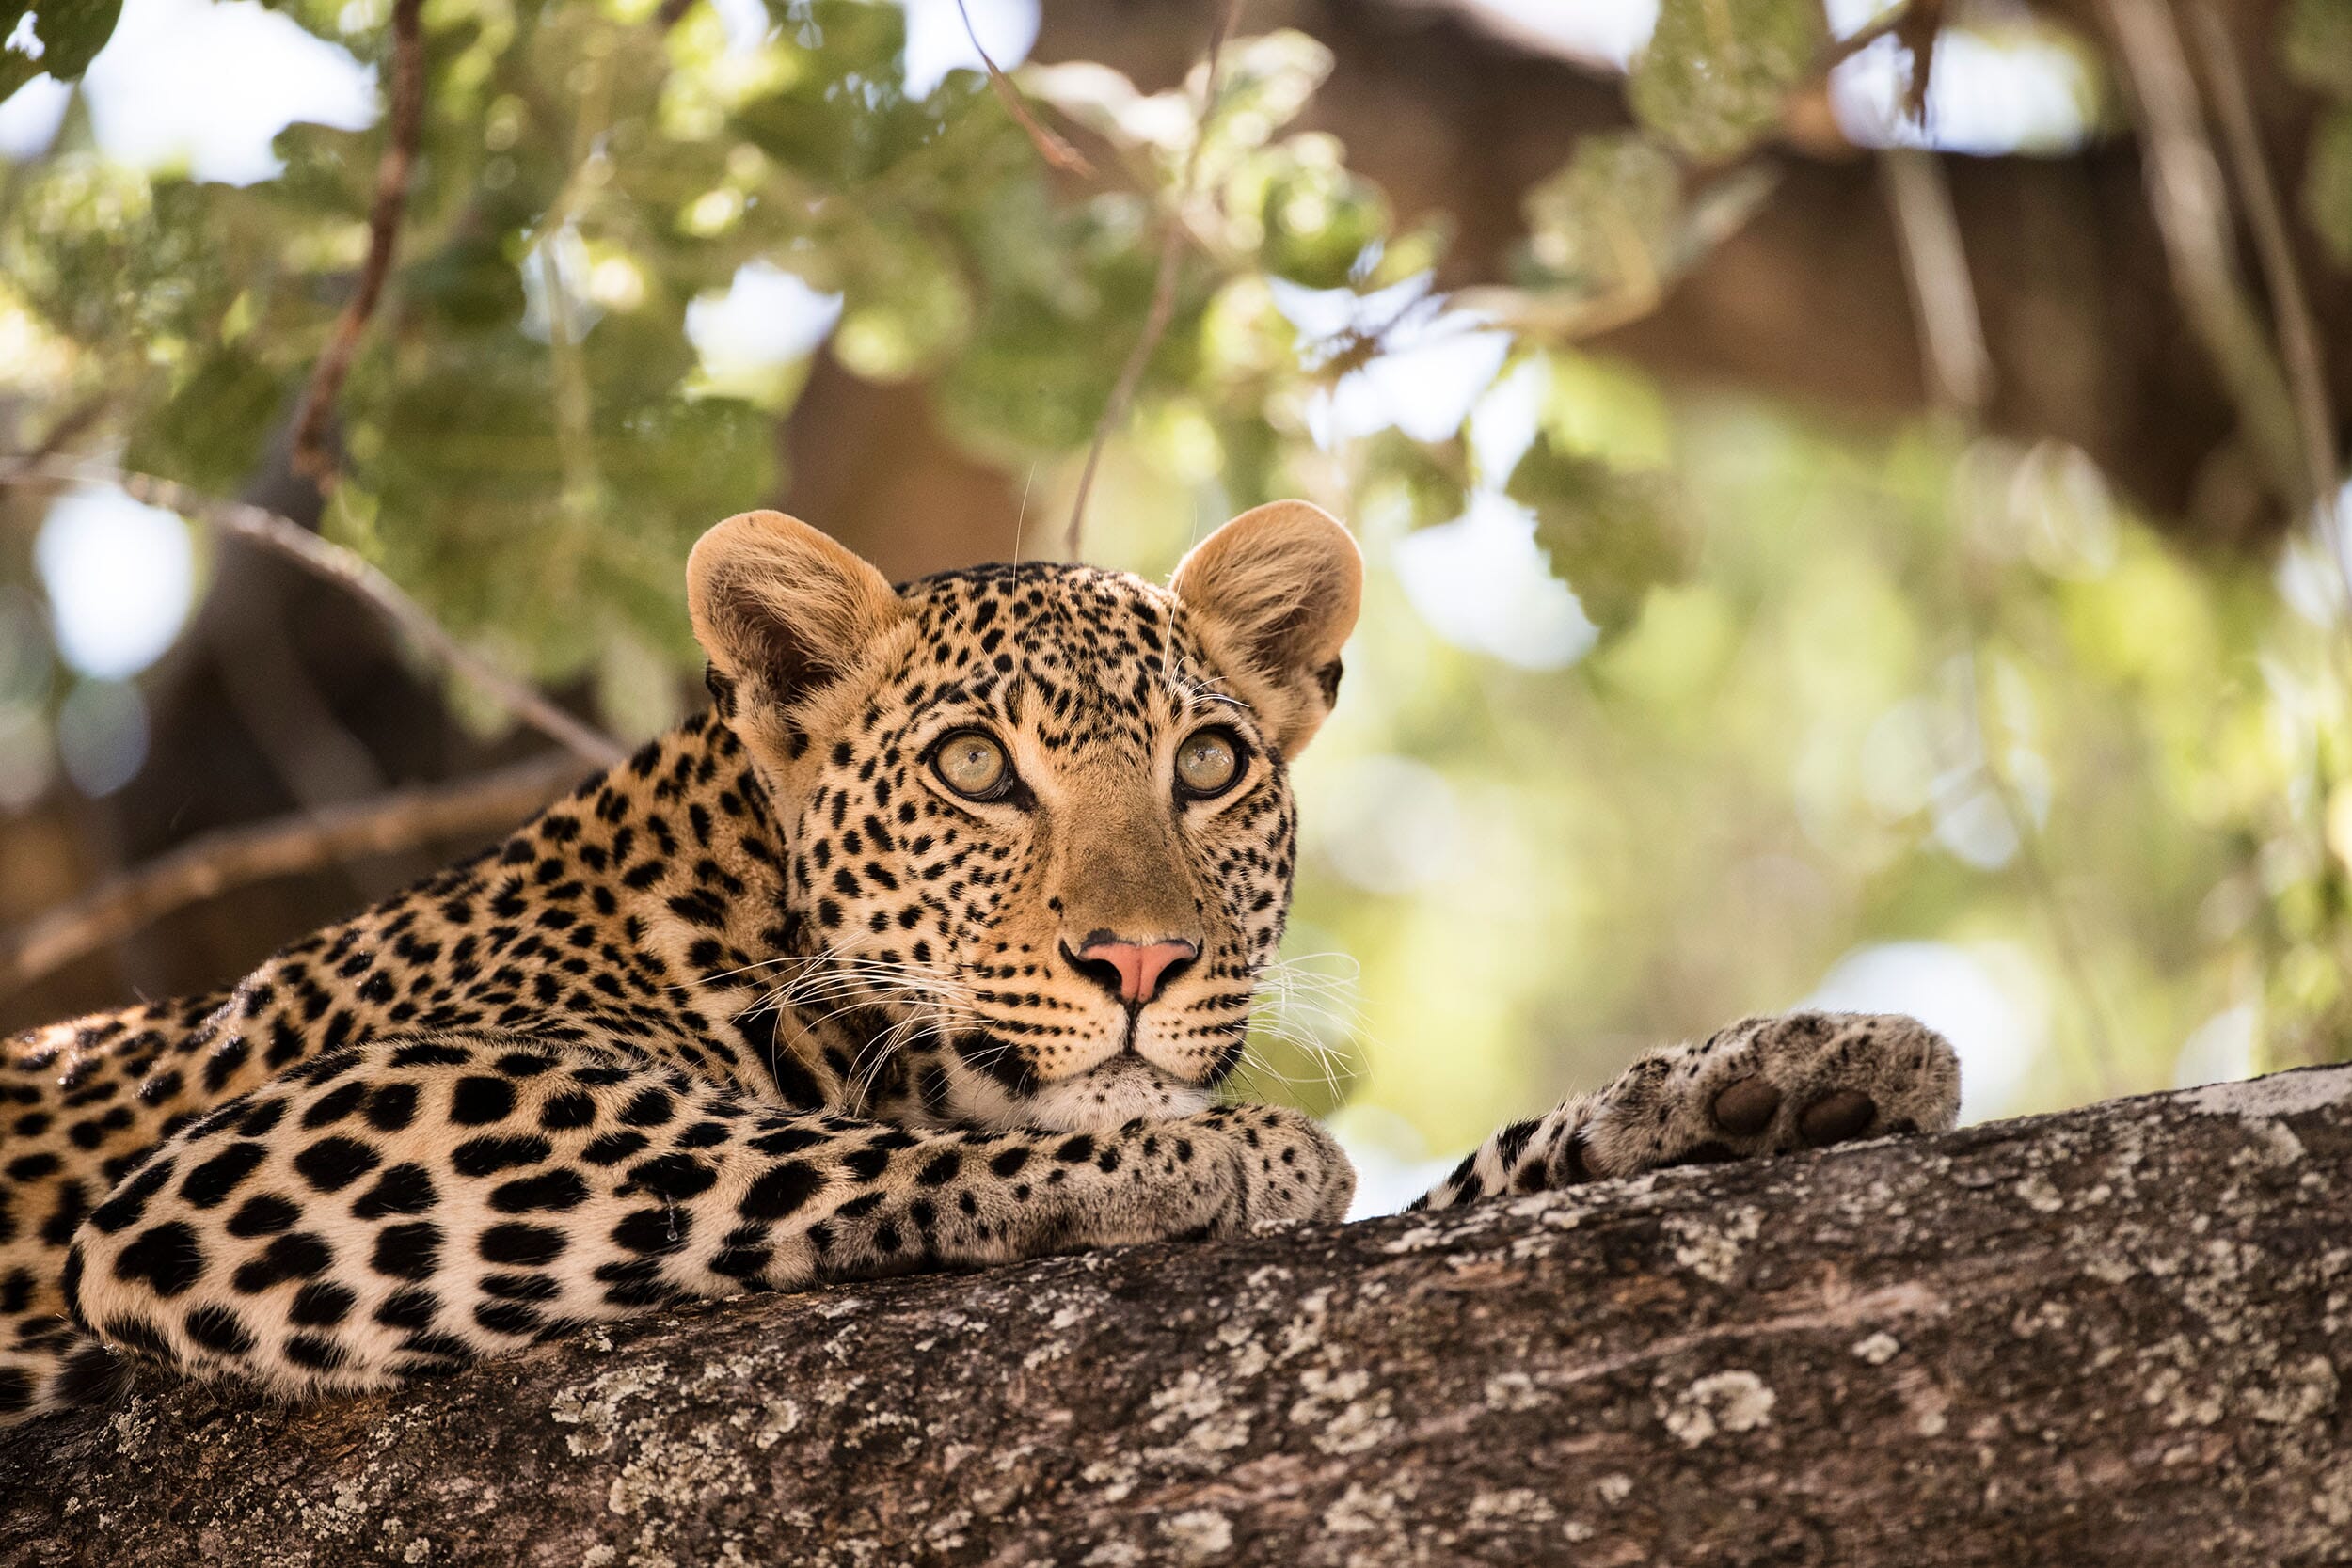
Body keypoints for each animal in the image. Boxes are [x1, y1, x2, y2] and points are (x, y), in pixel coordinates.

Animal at [0, 500, 1957, 1419]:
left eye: (1208, 766)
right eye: (973, 767)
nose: (1143, 958)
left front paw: (1766, 1075)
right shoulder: (275, 1156)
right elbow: (804, 1149)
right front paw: (1214, 1151)